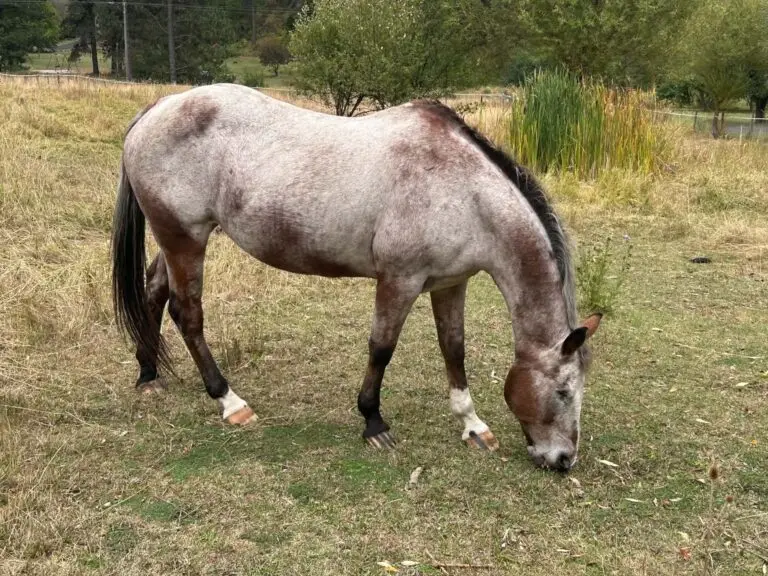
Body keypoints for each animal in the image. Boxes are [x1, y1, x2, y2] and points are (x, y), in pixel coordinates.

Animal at [111, 84, 601, 472]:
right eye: (563, 392)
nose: (563, 461)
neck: (464, 192)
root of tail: (159, 107)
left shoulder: (449, 284)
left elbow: (454, 349)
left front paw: (472, 425)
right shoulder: (399, 280)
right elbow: (381, 348)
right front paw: (373, 421)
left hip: (177, 240)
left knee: (155, 292)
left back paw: (149, 373)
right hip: (184, 238)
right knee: (187, 312)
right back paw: (229, 402)